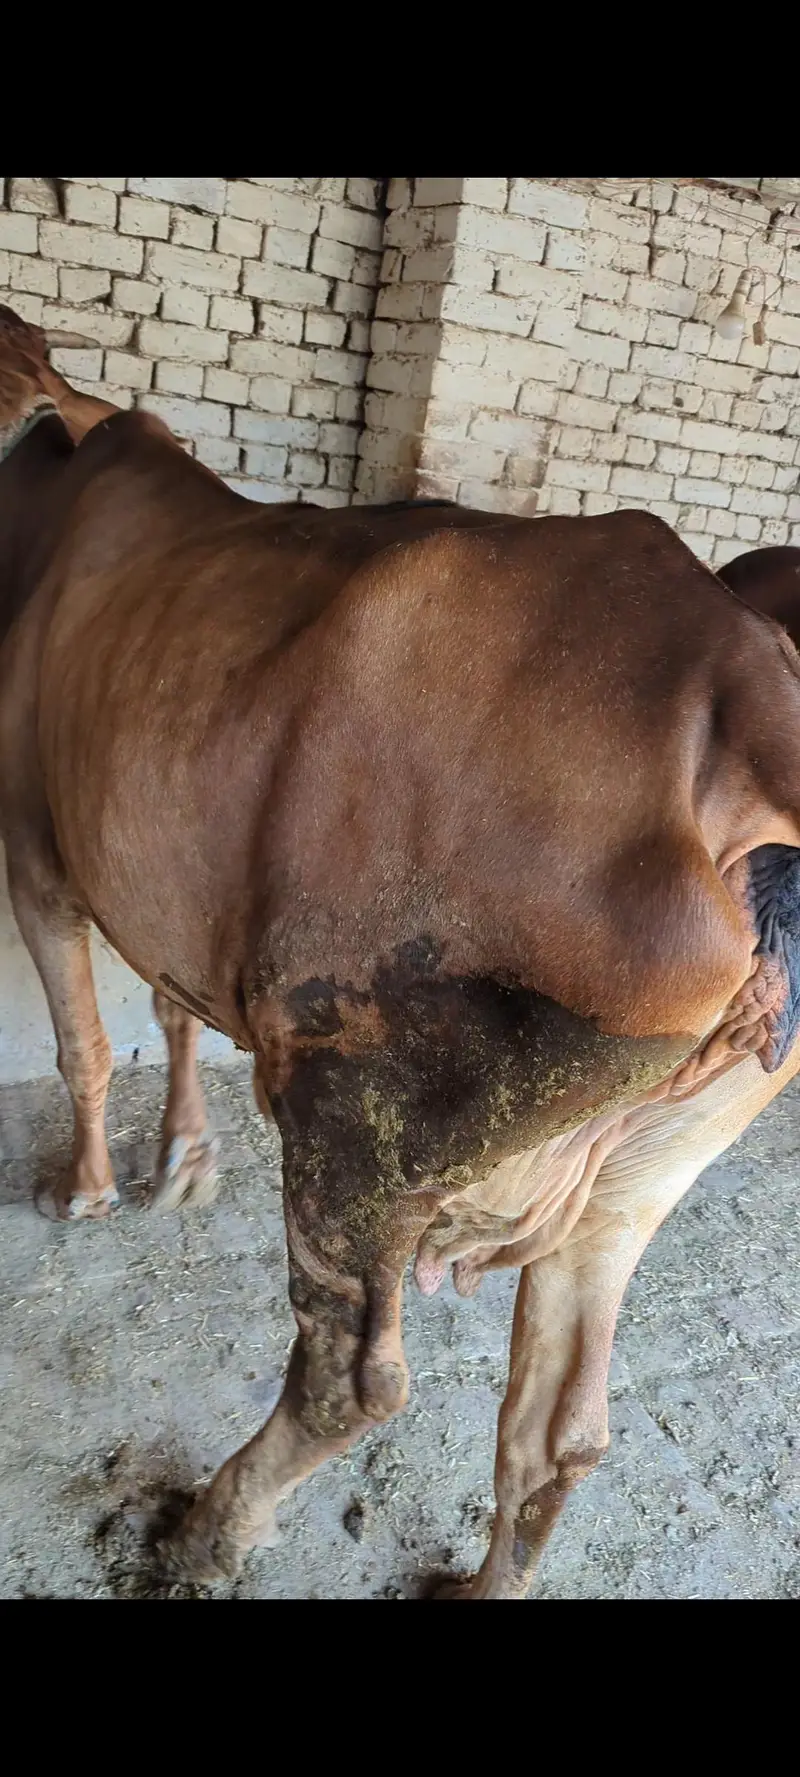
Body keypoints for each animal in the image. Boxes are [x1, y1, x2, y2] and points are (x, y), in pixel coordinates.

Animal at [1, 301, 800, 1600]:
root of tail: (746, 699)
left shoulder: (33, 843)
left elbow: (83, 1042)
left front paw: (84, 1190)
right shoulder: (160, 881)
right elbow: (166, 1007)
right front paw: (183, 1160)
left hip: (356, 1125)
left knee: (351, 1379)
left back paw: (204, 1531)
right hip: (640, 1172)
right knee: (563, 1424)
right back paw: (483, 1579)